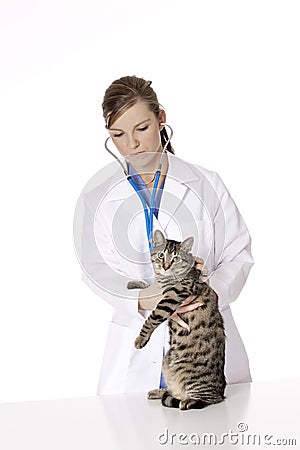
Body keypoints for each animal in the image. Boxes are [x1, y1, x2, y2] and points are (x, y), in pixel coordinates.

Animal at [127, 230, 226, 410]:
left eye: (175, 258)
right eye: (161, 255)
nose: (166, 266)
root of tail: (222, 391)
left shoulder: (173, 295)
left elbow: (153, 316)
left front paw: (140, 339)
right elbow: (148, 286)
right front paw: (135, 284)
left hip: (190, 374)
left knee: (210, 399)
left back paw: (188, 401)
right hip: (167, 362)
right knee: (174, 389)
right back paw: (160, 392)